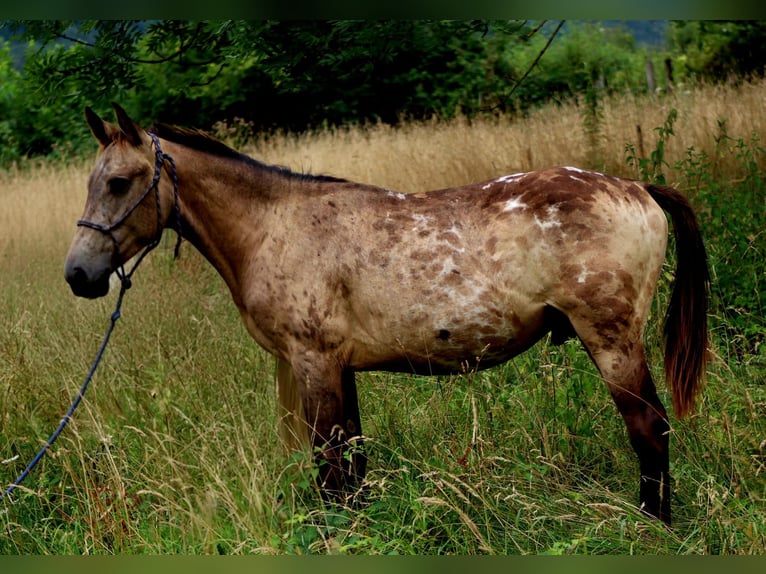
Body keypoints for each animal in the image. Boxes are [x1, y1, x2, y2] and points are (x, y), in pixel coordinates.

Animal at [65, 103, 709, 525]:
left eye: (119, 182)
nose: (79, 274)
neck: (275, 226)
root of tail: (637, 187)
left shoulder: (314, 364)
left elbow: (331, 473)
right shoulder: (339, 370)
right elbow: (354, 466)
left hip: (613, 340)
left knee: (649, 430)